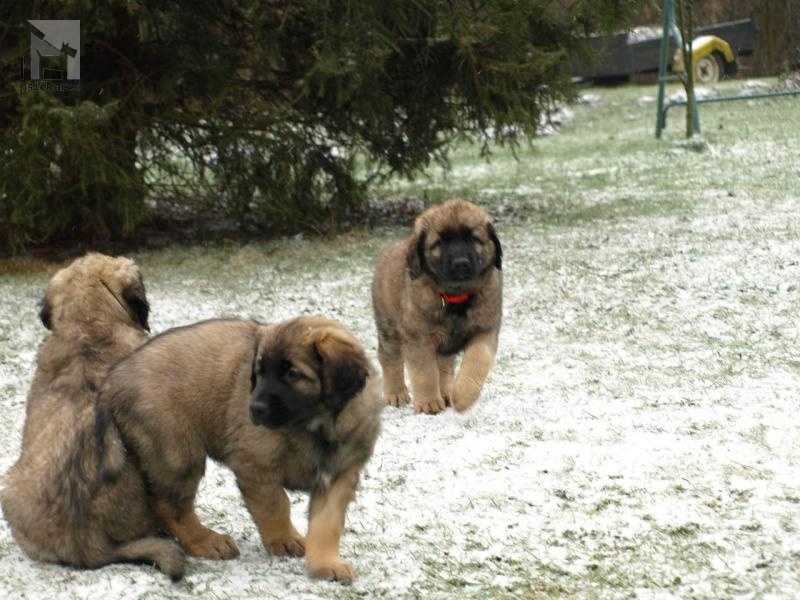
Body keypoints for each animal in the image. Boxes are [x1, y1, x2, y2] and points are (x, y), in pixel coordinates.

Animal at [97, 316, 384, 584]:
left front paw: (326, 565)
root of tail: (110, 380)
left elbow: (327, 524)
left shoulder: (339, 475)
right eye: (259, 372)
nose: (254, 408)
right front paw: (284, 539)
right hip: (177, 451)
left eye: (293, 374)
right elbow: (276, 504)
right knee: (170, 507)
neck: (317, 427)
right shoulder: (255, 465)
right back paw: (206, 541)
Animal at [374, 199, 500, 414]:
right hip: (389, 327)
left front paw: (463, 396)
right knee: (390, 359)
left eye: (473, 238)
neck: (456, 298)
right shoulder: (419, 338)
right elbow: (425, 373)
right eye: (440, 242)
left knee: (444, 367)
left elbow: (477, 361)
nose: (460, 263)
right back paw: (396, 393)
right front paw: (428, 402)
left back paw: (447, 392)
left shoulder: (485, 330)